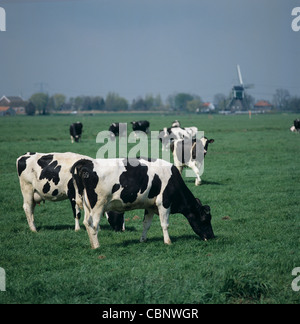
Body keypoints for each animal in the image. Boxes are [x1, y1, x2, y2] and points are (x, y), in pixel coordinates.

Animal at [71, 158, 214, 249]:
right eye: (205, 219)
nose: (212, 236)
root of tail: (87, 162)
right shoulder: (164, 203)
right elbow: (165, 224)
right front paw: (168, 241)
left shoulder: (150, 206)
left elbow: (146, 224)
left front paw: (143, 240)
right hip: (98, 205)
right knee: (93, 225)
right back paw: (97, 246)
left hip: (87, 205)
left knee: (86, 222)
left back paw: (92, 244)